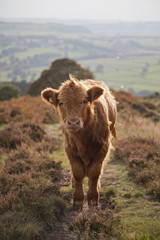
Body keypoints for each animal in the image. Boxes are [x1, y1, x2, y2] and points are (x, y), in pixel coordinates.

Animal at [41, 74, 116, 210]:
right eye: (61, 102)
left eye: (84, 101)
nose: (73, 122)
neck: (83, 136)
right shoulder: (70, 148)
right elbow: (77, 173)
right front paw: (77, 200)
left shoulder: (103, 147)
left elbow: (94, 172)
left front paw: (93, 200)